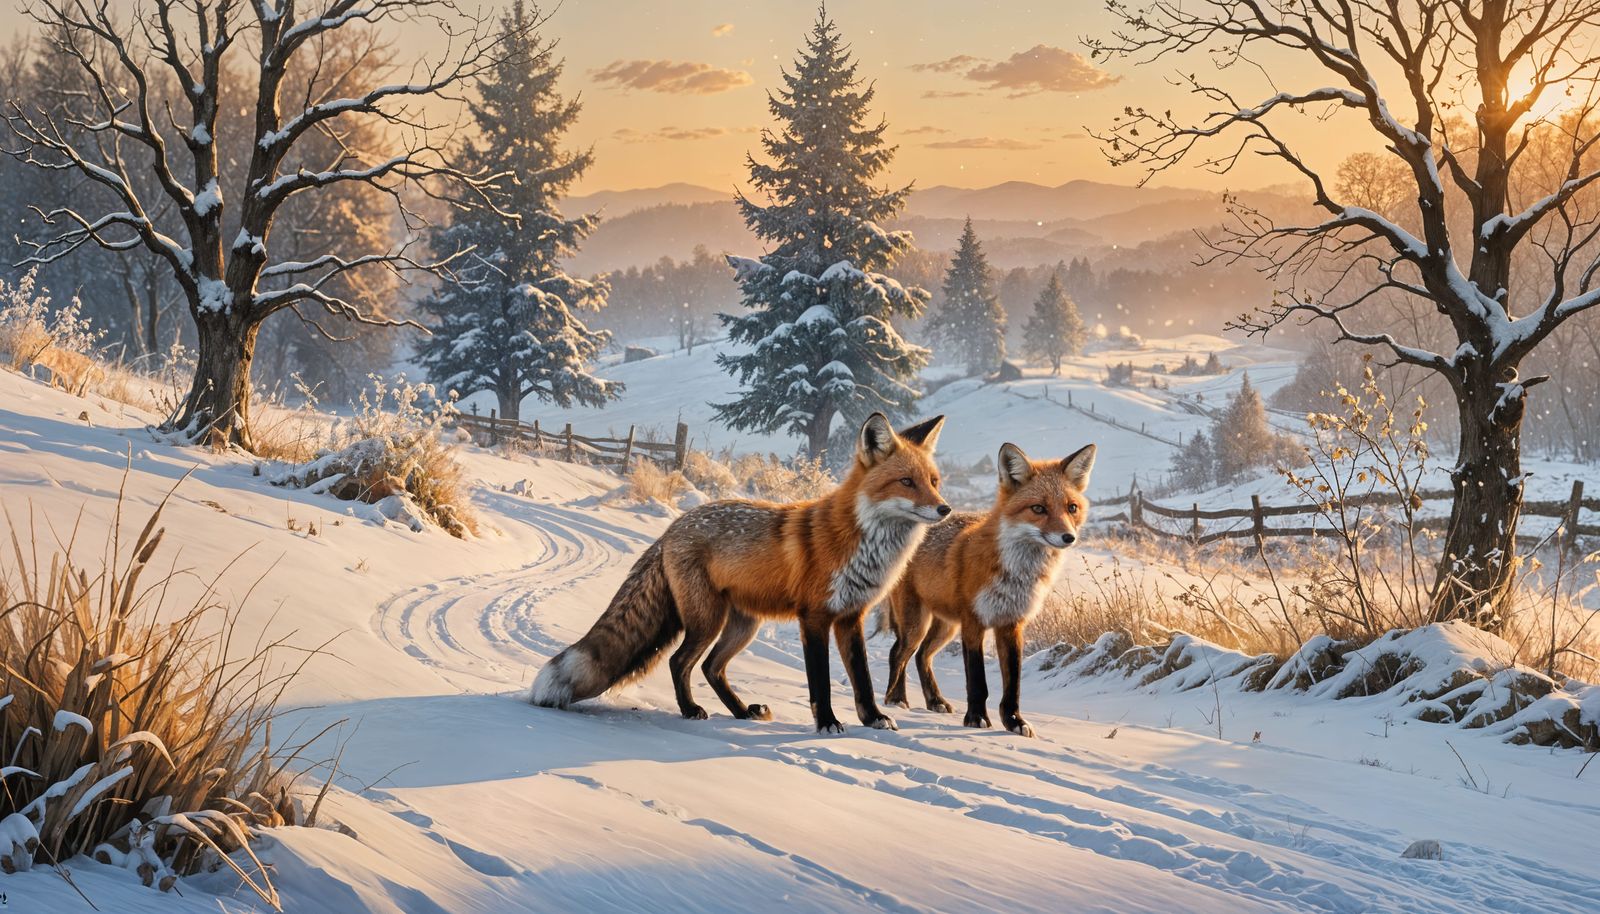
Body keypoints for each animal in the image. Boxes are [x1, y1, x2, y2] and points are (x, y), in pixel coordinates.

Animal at [532, 412, 950, 733]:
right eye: (906, 482)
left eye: (933, 482)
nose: (945, 509)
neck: (863, 544)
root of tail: (671, 529)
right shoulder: (814, 617)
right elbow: (821, 683)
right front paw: (828, 723)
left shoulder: (850, 616)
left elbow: (861, 678)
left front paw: (873, 719)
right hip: (708, 620)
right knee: (680, 662)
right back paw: (690, 710)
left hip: (743, 625)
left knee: (712, 668)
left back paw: (740, 711)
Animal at [883, 441, 1096, 738]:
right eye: (1038, 508)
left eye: (1071, 507)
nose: (1069, 537)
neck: (1016, 575)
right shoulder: (974, 622)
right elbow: (977, 681)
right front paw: (976, 718)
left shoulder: (1012, 624)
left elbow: (1013, 684)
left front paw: (1014, 721)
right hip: (917, 624)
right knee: (898, 653)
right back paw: (896, 699)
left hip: (945, 626)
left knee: (921, 656)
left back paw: (934, 701)